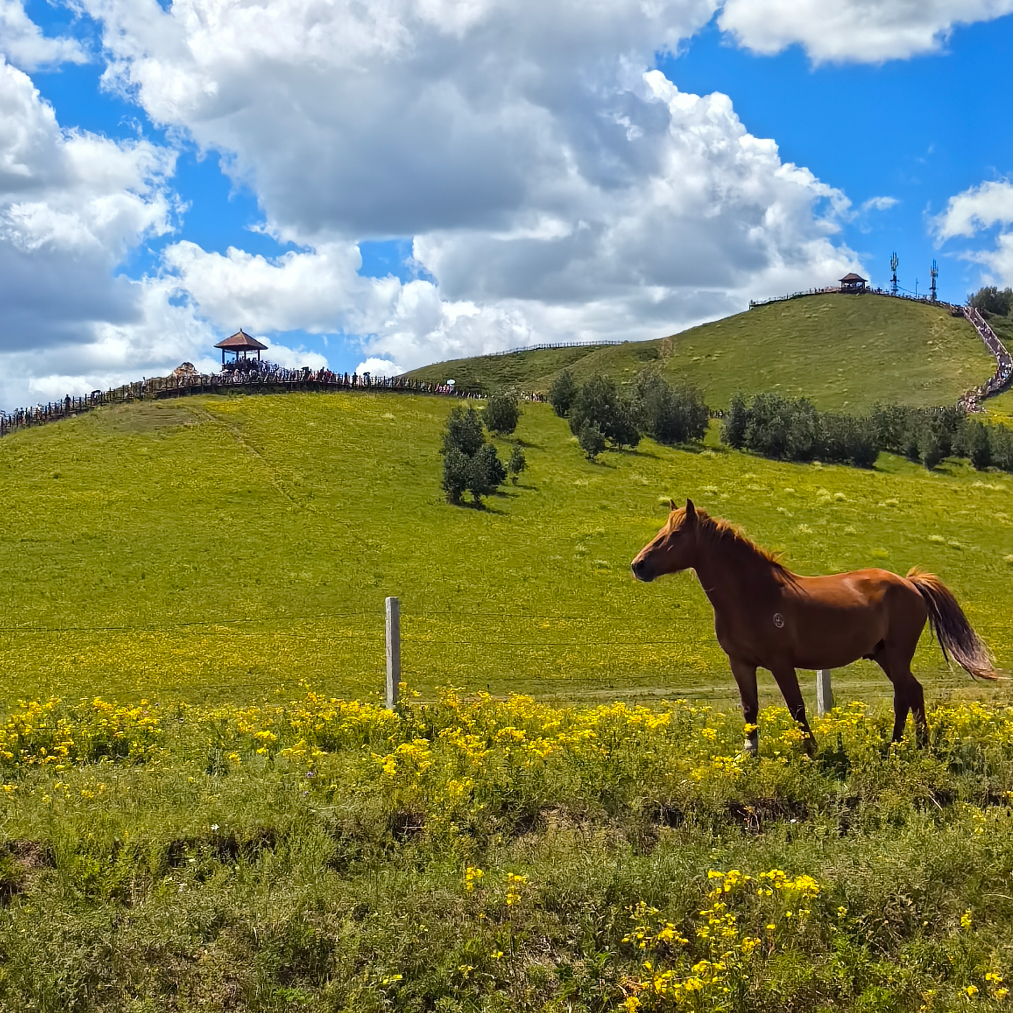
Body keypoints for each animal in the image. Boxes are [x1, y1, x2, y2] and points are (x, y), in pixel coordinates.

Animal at [628, 498, 992, 753]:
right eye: (660, 531)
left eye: (675, 534)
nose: (638, 565)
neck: (753, 593)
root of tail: (910, 583)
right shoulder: (741, 664)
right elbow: (749, 709)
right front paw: (748, 755)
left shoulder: (780, 663)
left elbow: (796, 707)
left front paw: (811, 750)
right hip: (883, 655)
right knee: (911, 692)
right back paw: (912, 744)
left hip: (897, 654)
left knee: (905, 693)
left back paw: (900, 746)